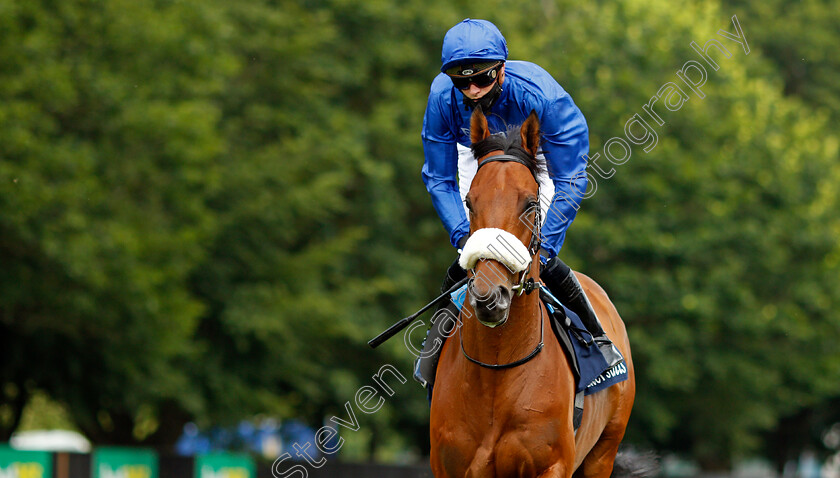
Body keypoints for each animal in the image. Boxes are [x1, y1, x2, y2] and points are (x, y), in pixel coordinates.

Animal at [430, 109, 632, 478]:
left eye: (530, 203)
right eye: (469, 202)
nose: (490, 296)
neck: (497, 367)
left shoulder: (552, 465)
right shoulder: (447, 466)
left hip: (604, 451)